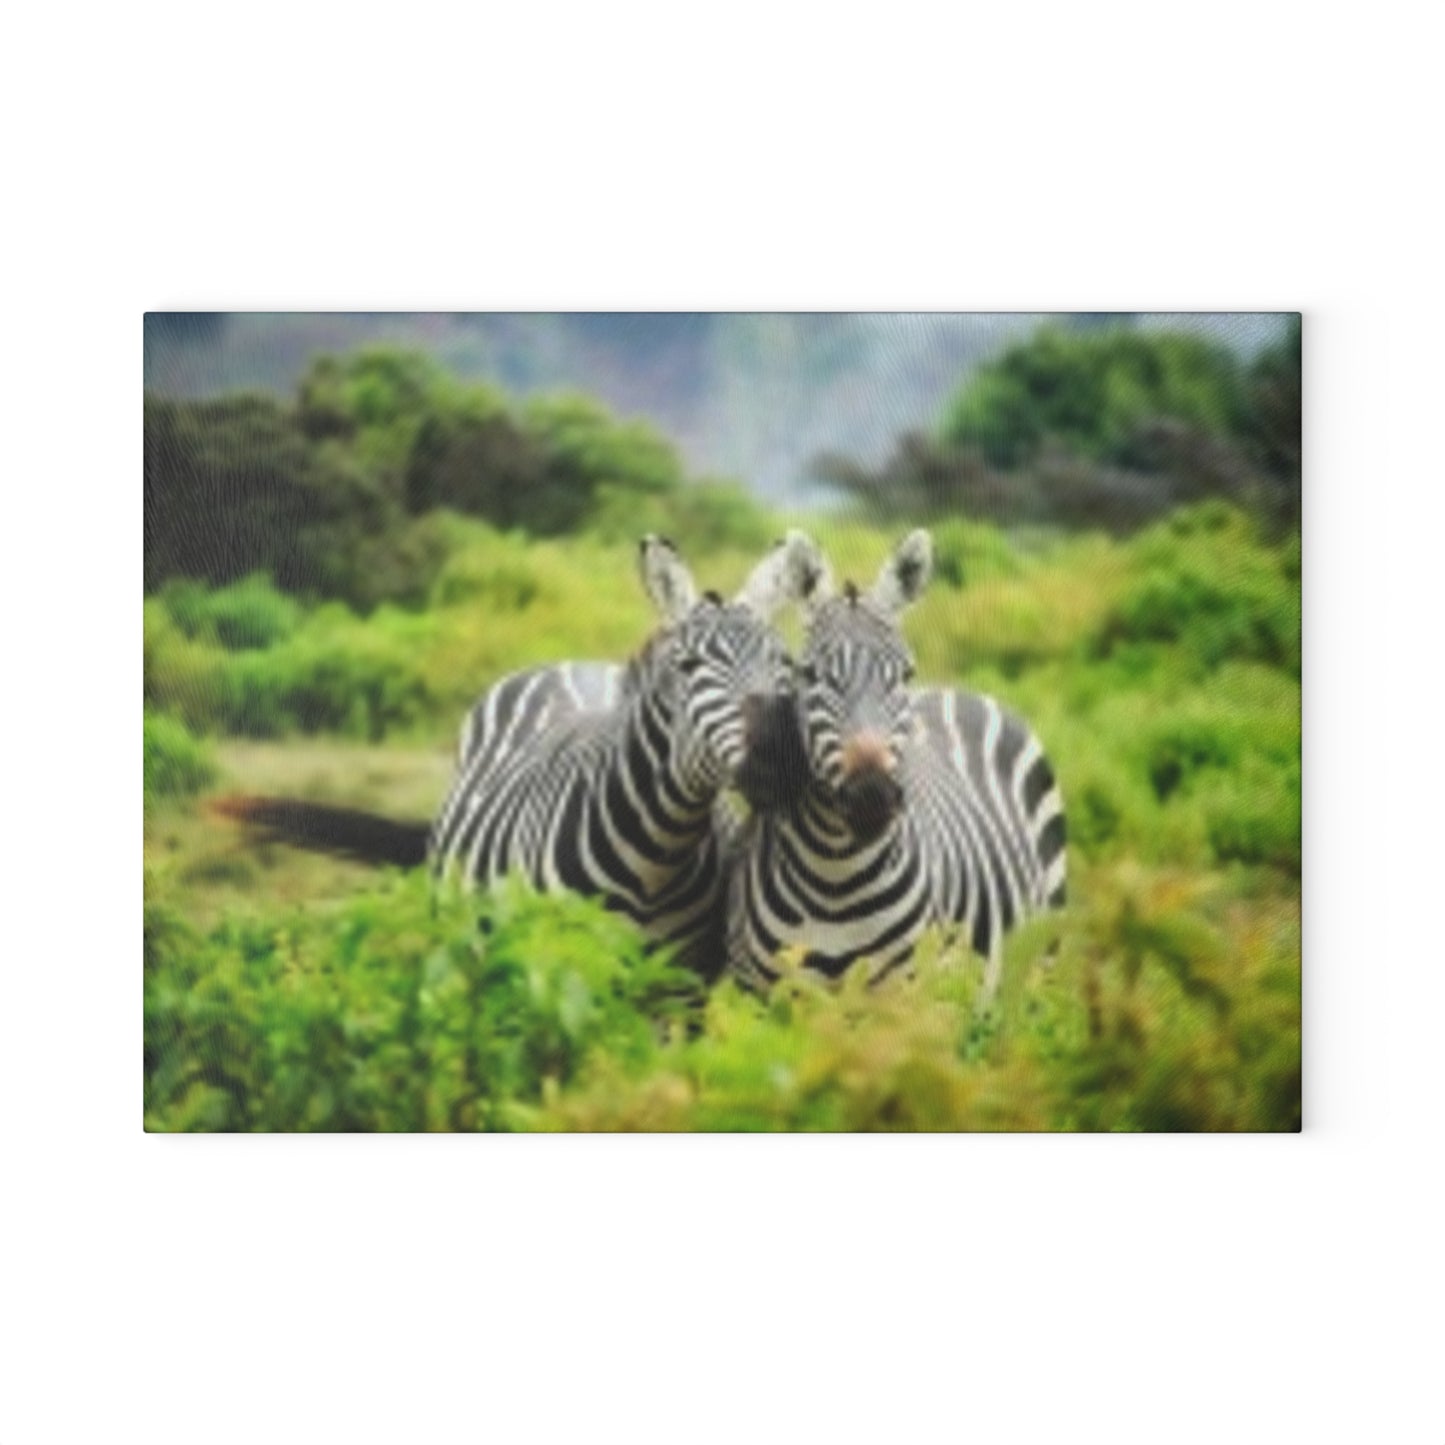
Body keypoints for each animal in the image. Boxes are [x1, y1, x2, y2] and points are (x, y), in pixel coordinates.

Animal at [427, 531, 821, 979]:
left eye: (786, 664)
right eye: (688, 665)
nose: (777, 758)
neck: (654, 860)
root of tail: (574, 663)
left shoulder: (686, 978)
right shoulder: (556, 965)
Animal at [727, 529, 1067, 995]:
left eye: (905, 674)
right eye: (810, 675)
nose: (871, 794)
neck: (835, 878)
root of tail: (957, 690)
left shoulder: (903, 992)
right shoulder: (761, 994)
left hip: (1040, 962)